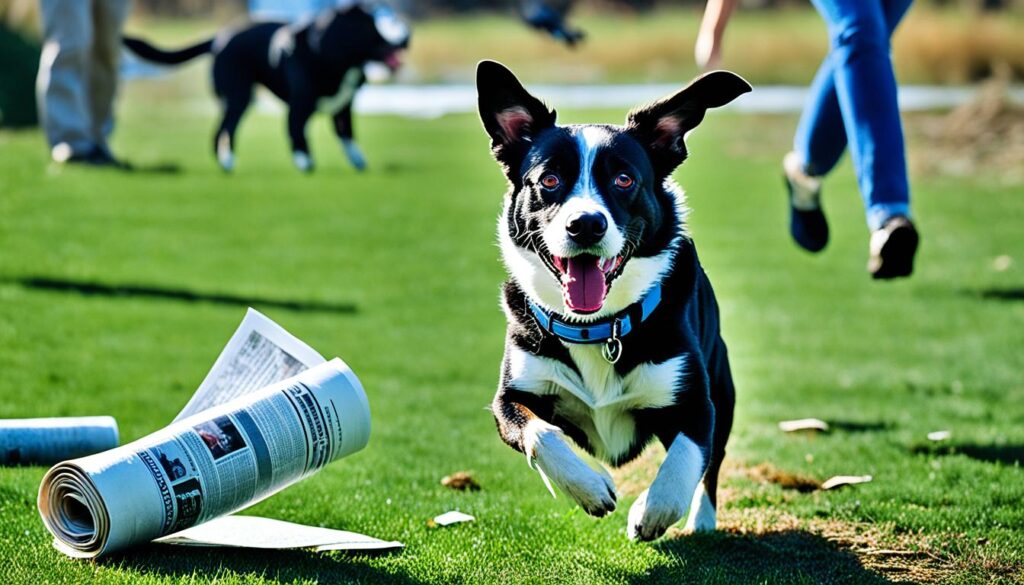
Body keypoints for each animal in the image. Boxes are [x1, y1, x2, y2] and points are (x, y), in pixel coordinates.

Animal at [128, 2, 411, 173]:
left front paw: (359, 162)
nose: (408, 37)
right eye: (378, 23)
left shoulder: (343, 107)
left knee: (219, 132)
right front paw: (305, 163)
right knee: (227, 130)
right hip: (239, 96)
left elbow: (348, 136)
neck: (326, 52)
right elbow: (297, 133)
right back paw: (228, 162)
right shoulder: (299, 105)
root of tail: (219, 39)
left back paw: (224, 162)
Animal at [475, 61, 749, 540]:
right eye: (549, 180)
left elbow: (688, 455)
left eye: (624, 179)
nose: (586, 223)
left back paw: (702, 519)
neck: (597, 326)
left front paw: (652, 510)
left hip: (724, 381)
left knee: (713, 463)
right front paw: (588, 486)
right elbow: (541, 433)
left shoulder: (697, 402)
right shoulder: (511, 395)